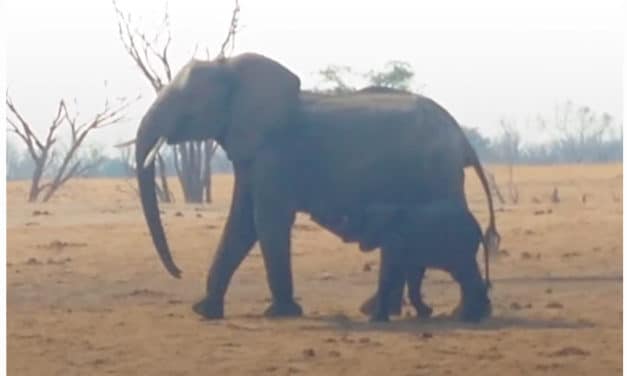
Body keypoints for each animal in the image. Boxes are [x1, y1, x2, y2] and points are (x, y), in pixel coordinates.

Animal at [340, 200, 494, 324]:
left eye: (359, 220)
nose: (343, 232)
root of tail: (477, 226)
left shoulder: (394, 241)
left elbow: (390, 274)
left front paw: (375, 320)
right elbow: (414, 275)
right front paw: (426, 313)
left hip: (459, 247)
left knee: (465, 275)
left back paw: (469, 318)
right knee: (466, 276)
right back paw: (477, 314)